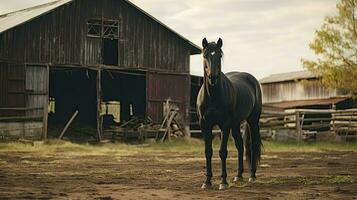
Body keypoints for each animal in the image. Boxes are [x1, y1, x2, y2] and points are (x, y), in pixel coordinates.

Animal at [195, 38, 262, 190]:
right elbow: (208, 151)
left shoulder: (224, 125)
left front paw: (223, 182)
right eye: (205, 55)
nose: (213, 77)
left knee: (253, 144)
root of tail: (252, 80)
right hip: (235, 124)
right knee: (240, 145)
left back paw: (252, 176)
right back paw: (239, 176)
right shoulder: (205, 125)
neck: (213, 96)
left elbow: (222, 152)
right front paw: (207, 182)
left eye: (219, 55)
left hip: (252, 120)